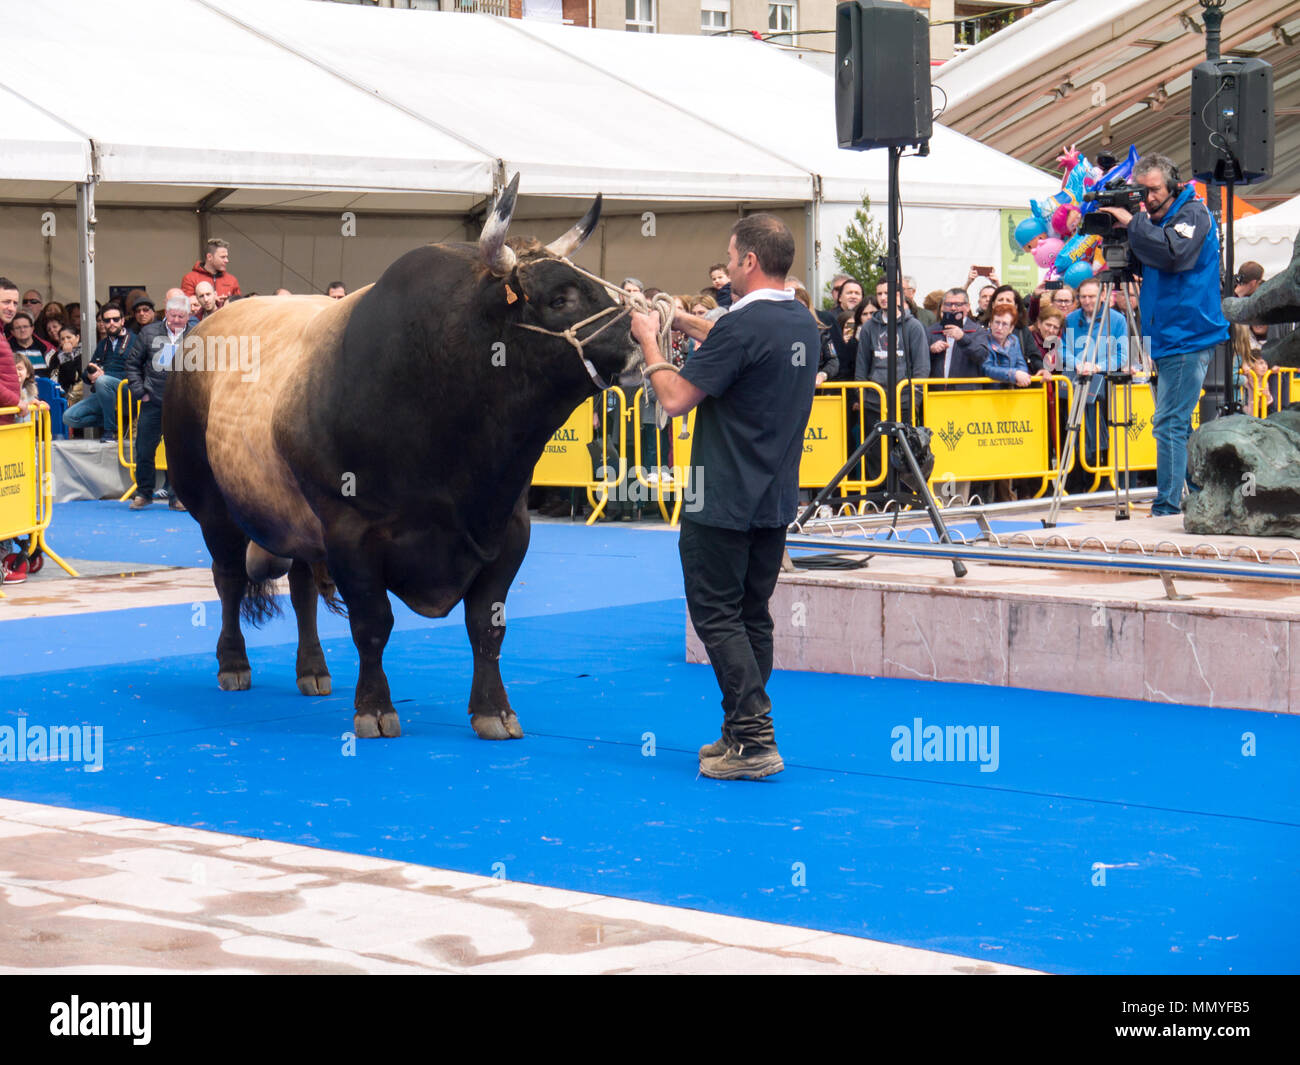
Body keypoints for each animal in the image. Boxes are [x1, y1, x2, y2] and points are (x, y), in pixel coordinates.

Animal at [162, 176, 639, 743]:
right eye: (559, 297)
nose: (638, 342)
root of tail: (203, 328)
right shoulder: (351, 531)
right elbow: (373, 623)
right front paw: (374, 708)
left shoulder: (510, 530)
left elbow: (486, 623)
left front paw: (494, 710)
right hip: (213, 506)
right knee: (230, 579)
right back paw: (233, 663)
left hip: (294, 515)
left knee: (301, 589)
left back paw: (313, 669)